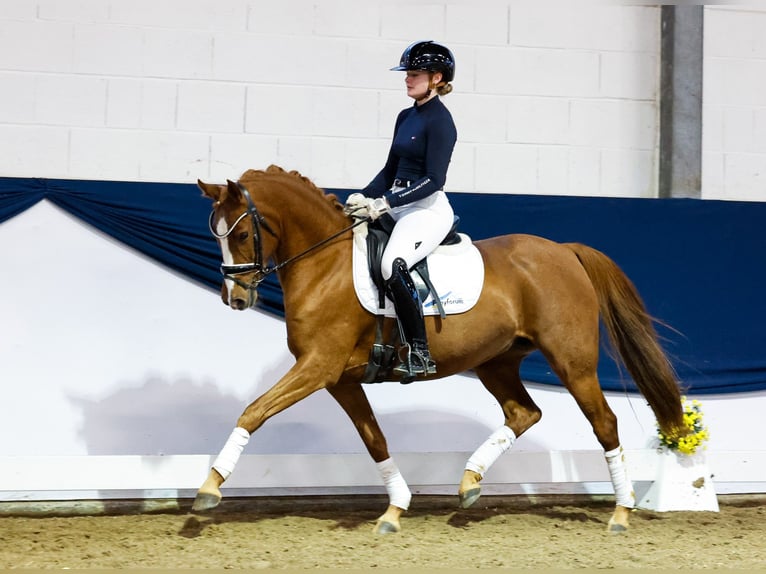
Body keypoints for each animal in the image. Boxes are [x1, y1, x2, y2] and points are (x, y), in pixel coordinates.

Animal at [195, 165, 688, 536]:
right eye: (215, 234)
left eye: (241, 235)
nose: (234, 299)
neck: (324, 264)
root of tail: (565, 251)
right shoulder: (339, 379)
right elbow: (374, 439)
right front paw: (396, 508)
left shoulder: (318, 367)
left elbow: (253, 412)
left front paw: (209, 488)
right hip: (496, 362)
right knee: (523, 413)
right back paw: (469, 481)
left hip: (573, 361)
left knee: (603, 422)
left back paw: (621, 511)